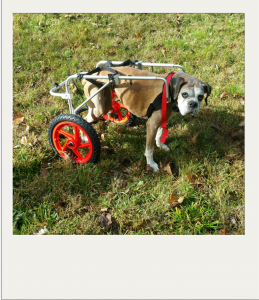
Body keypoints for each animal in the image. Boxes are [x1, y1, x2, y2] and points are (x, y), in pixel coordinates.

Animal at [82, 67, 212, 171]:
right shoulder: (152, 125)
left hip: (106, 103)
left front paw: (160, 145)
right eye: (184, 94)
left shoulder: (162, 119)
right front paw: (151, 163)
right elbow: (149, 149)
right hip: (98, 108)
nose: (193, 104)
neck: (169, 89)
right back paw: (83, 138)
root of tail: (92, 74)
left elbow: (160, 134)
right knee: (84, 119)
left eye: (200, 97)